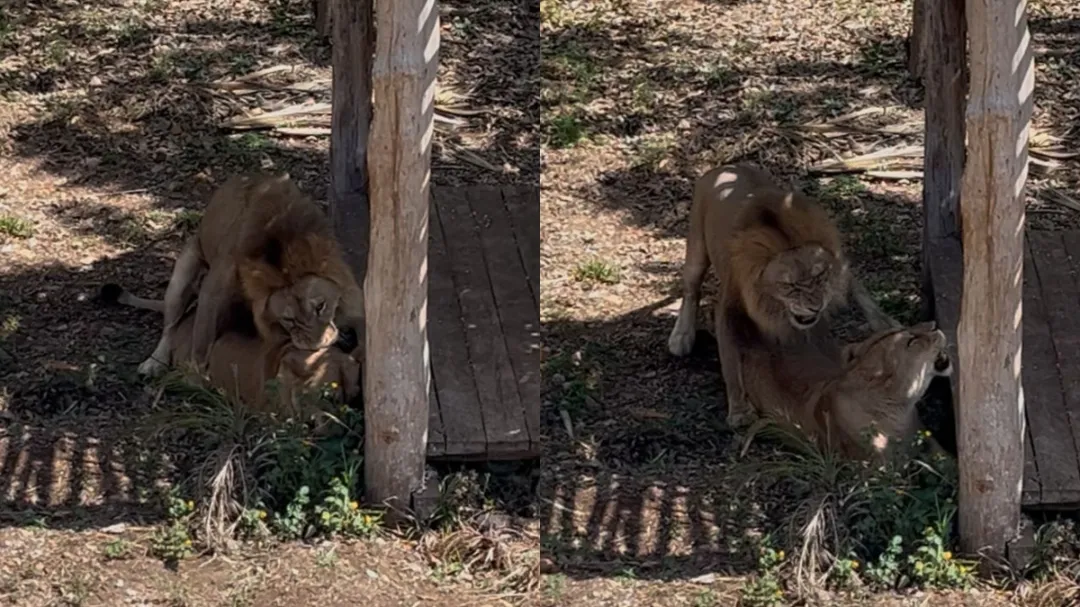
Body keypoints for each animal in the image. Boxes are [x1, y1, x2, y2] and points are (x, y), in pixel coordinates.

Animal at [137, 173, 364, 377]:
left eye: (320, 306)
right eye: (288, 319)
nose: (315, 347)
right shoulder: (213, 289)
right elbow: (202, 338)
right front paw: (196, 378)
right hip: (181, 278)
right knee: (170, 328)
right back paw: (153, 363)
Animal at [667, 163, 898, 428]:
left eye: (820, 276)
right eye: (789, 285)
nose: (816, 307)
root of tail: (726, 166)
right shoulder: (728, 306)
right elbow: (730, 360)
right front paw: (739, 411)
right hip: (696, 248)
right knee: (691, 289)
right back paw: (681, 336)